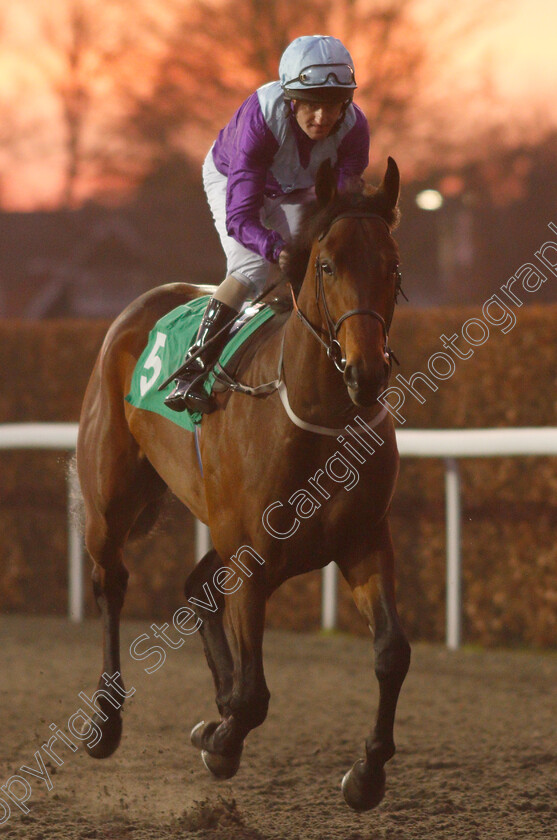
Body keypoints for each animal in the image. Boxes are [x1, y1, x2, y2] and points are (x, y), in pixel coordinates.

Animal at [76, 154, 408, 812]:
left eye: (391, 265)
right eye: (327, 266)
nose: (367, 372)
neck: (316, 418)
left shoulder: (361, 541)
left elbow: (390, 653)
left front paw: (367, 774)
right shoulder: (252, 559)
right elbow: (255, 696)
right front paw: (222, 741)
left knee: (197, 584)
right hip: (110, 499)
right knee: (111, 584)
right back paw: (107, 720)